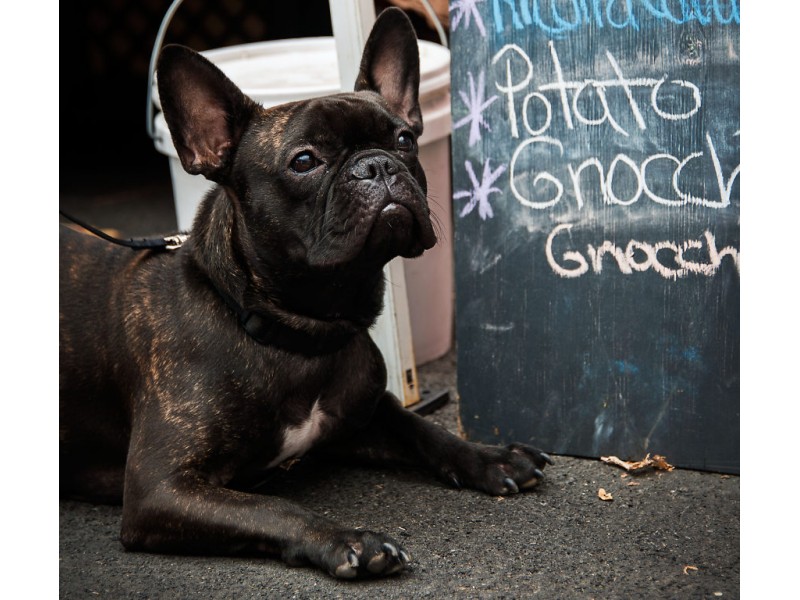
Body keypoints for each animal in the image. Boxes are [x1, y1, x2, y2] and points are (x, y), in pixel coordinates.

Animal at [59, 9, 552, 580]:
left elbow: (421, 429)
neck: (299, 332)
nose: (378, 164)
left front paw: (491, 457)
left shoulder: (363, 414)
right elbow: (271, 507)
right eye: (303, 161)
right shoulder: (161, 488)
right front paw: (348, 538)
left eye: (405, 139)